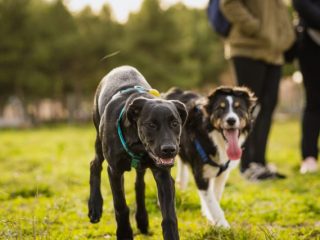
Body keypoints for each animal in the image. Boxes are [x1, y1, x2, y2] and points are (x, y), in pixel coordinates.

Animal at [87, 66, 188, 240]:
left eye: (175, 123)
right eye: (151, 125)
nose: (169, 149)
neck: (138, 145)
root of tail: (121, 67)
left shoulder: (163, 174)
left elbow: (169, 215)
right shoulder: (114, 170)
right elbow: (120, 206)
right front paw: (124, 233)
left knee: (139, 184)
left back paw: (142, 220)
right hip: (99, 138)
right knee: (95, 164)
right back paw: (95, 206)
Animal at [164, 86, 256, 227]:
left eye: (238, 107)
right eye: (220, 108)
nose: (231, 120)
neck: (215, 139)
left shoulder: (222, 174)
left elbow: (215, 196)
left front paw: (210, 216)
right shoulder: (200, 174)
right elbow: (211, 200)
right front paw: (222, 224)